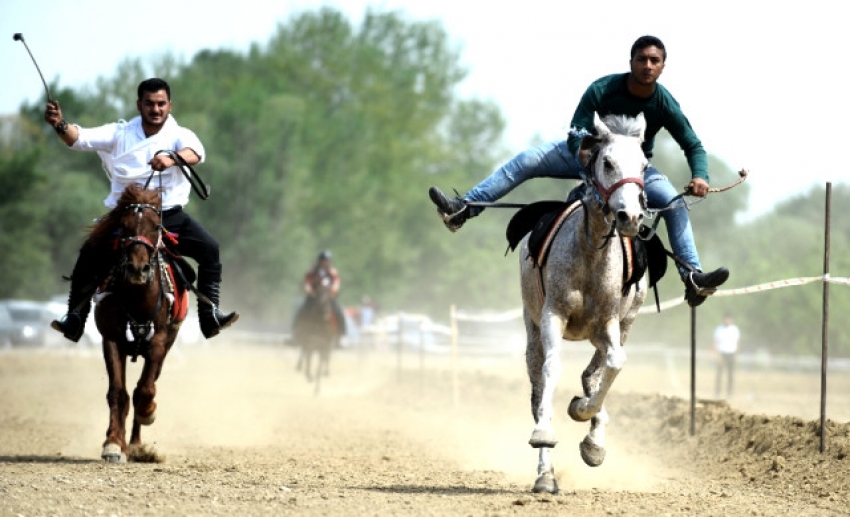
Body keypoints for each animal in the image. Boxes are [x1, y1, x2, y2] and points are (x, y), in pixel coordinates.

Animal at [88, 183, 190, 462]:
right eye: (123, 226)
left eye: (156, 226)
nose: (137, 268)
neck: (137, 299)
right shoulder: (111, 339)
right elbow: (117, 392)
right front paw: (113, 443)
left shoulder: (158, 343)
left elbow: (144, 389)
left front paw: (148, 413)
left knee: (146, 385)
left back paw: (136, 443)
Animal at [516, 112, 648, 492]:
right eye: (608, 163)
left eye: (644, 166)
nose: (631, 218)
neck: (590, 252)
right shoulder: (553, 316)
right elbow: (551, 370)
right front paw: (545, 434)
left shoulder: (608, 323)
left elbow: (614, 364)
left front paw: (585, 417)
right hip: (532, 325)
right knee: (538, 384)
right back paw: (545, 474)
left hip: (622, 324)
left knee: (598, 368)